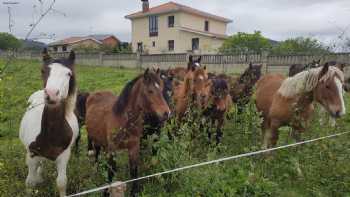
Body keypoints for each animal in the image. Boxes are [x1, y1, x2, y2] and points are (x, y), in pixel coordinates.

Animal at [20, 50, 79, 196]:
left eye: (69, 73)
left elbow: (62, 183)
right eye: (43, 70)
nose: (51, 94)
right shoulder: (31, 155)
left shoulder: (64, 156)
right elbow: (30, 182)